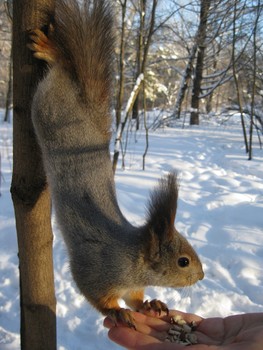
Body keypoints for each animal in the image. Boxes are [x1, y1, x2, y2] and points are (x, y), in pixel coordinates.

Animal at [29, 0, 205, 328]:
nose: (202, 275)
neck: (132, 261)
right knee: (60, 70)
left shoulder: (132, 286)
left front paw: (151, 304)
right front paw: (117, 311)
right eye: (183, 261)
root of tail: (86, 106)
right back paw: (49, 50)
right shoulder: (95, 271)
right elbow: (97, 297)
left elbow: (136, 299)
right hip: (49, 104)